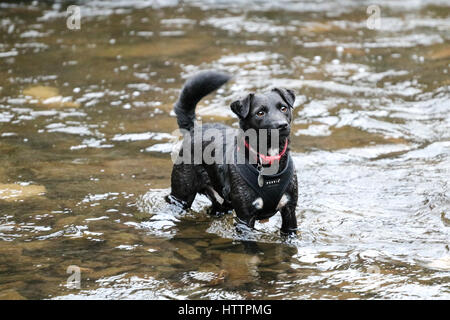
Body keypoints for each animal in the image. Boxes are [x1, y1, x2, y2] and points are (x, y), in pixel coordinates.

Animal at [166, 70, 298, 238]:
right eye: (260, 113)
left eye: (283, 108)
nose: (282, 125)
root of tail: (194, 128)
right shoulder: (245, 218)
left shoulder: (289, 211)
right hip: (181, 195)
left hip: (222, 203)